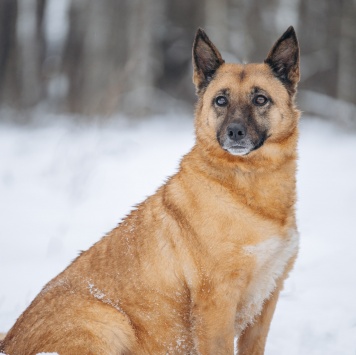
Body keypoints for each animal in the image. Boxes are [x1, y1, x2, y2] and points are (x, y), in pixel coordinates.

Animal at [0, 26, 300, 354]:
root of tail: (9, 339)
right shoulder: (216, 302)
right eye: (221, 101)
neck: (244, 186)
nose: (235, 132)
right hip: (111, 322)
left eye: (260, 99)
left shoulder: (267, 298)